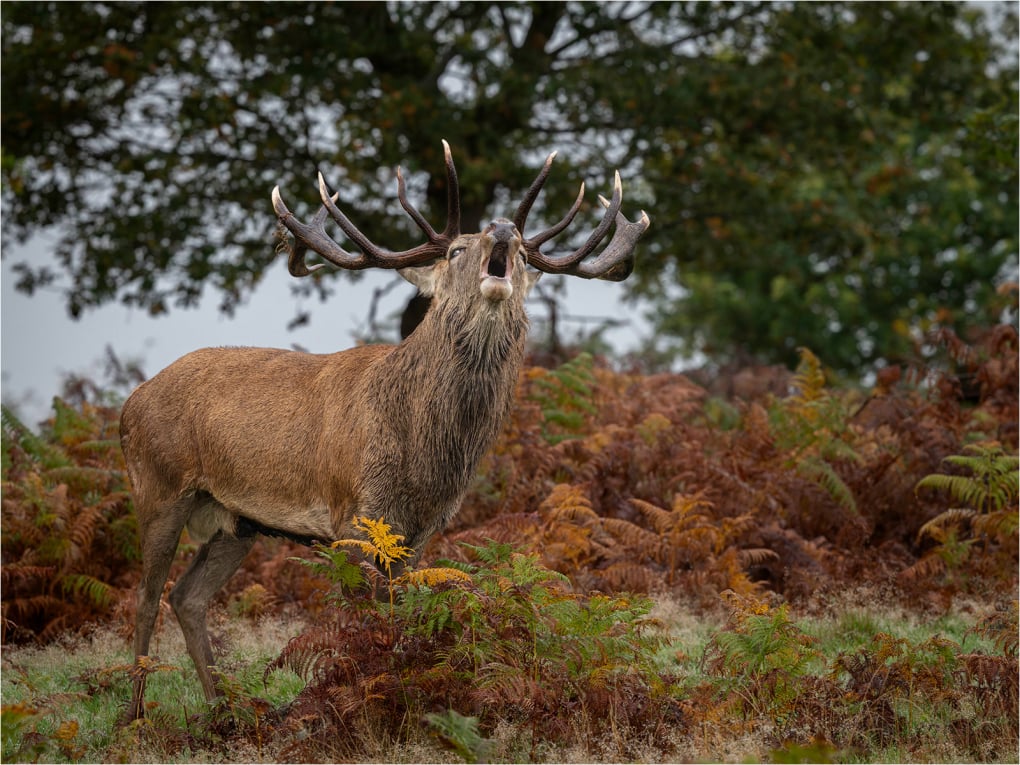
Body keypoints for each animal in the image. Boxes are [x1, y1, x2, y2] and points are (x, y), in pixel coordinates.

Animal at [119, 141, 649, 720]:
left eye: (528, 258)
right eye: (456, 251)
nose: (504, 228)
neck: (423, 458)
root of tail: (130, 402)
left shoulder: (420, 531)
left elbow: (401, 615)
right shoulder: (351, 515)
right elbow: (362, 621)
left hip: (237, 522)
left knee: (187, 596)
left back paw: (223, 711)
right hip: (159, 486)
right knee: (145, 598)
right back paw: (136, 714)